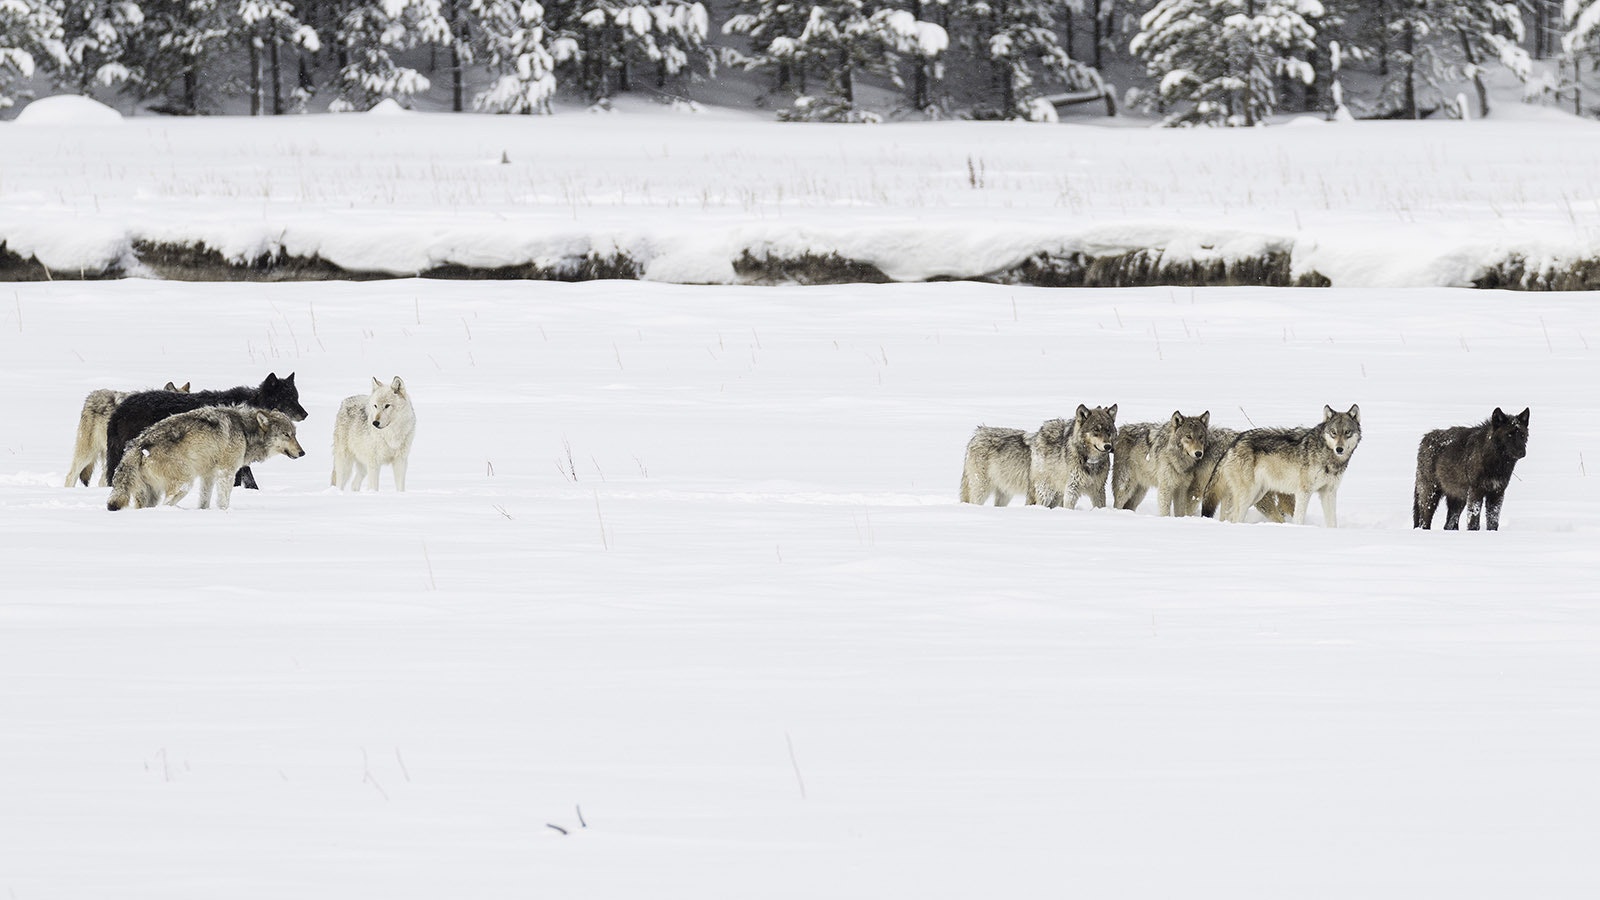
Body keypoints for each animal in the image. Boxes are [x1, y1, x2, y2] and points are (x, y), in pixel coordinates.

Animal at [108, 405, 305, 509]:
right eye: (286, 435)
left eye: (295, 434)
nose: (302, 453)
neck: (244, 430)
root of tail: (138, 444)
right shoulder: (226, 472)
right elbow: (223, 501)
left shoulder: (208, 475)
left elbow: (204, 500)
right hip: (184, 483)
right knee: (166, 504)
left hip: (151, 494)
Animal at [1203, 400, 1363, 522]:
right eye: (1333, 433)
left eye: (1347, 433)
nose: (1339, 449)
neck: (1327, 456)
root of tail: (1233, 444)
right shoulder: (1303, 492)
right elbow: (1299, 519)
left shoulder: (1329, 492)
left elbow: (1332, 522)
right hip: (1249, 496)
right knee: (1235, 517)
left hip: (1257, 495)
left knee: (1230, 516)